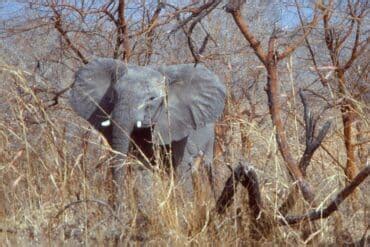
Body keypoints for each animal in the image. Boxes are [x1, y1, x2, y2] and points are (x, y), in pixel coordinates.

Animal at [68, 57, 227, 205]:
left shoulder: (181, 125)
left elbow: (182, 165)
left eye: (152, 99)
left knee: (206, 168)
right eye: (114, 95)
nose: (116, 208)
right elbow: (141, 165)